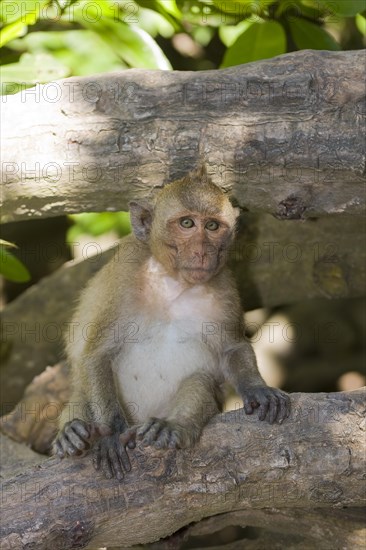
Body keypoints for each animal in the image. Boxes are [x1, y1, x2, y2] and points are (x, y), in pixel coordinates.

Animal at [53, 168, 288, 484]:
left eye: (212, 226)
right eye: (187, 223)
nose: (202, 251)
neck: (174, 282)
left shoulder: (224, 286)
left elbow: (231, 348)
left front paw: (257, 388)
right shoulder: (125, 276)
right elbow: (96, 355)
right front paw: (112, 433)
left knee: (199, 382)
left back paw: (171, 428)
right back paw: (73, 433)